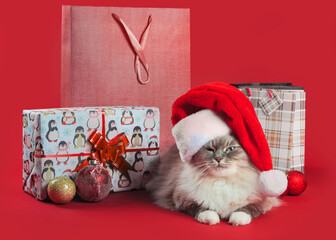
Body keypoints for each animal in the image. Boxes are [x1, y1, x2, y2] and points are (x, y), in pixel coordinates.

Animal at [146, 135, 280, 227]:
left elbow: (246, 209)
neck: (222, 182)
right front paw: (211, 219)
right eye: (210, 149)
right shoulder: (183, 198)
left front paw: (237, 220)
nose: (218, 159)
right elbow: (202, 208)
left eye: (230, 149)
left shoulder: (261, 201)